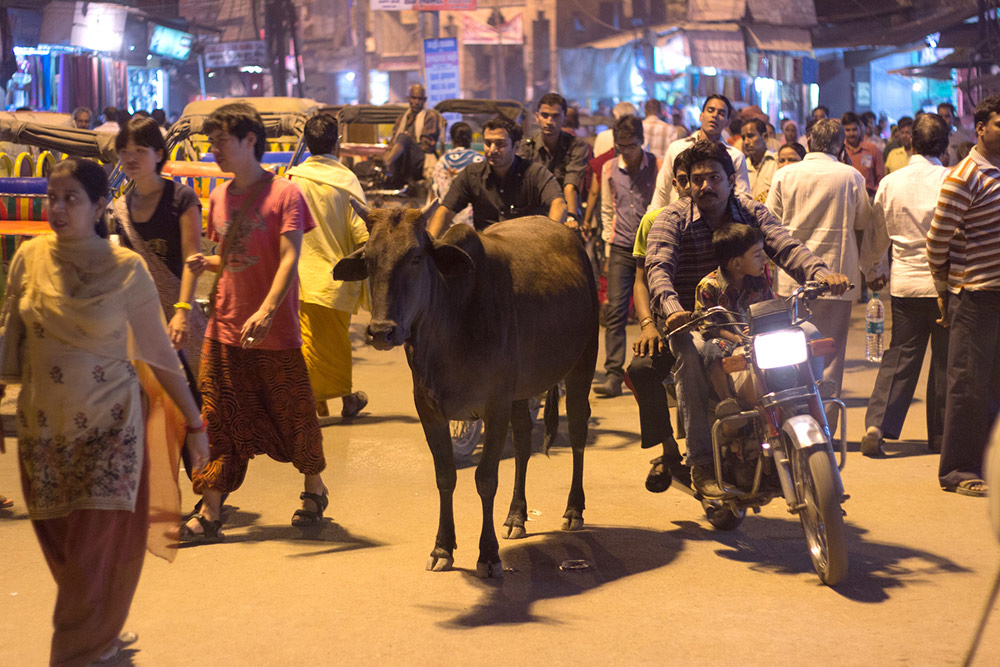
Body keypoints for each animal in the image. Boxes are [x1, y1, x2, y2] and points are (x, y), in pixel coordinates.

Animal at [332, 204, 596, 580]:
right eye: (368, 259)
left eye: (415, 256)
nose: (382, 331)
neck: (452, 323)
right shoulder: (429, 407)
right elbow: (445, 476)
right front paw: (442, 548)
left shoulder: (495, 403)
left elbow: (485, 478)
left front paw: (488, 554)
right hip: (520, 393)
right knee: (523, 442)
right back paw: (516, 516)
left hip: (581, 364)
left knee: (576, 432)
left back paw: (573, 510)